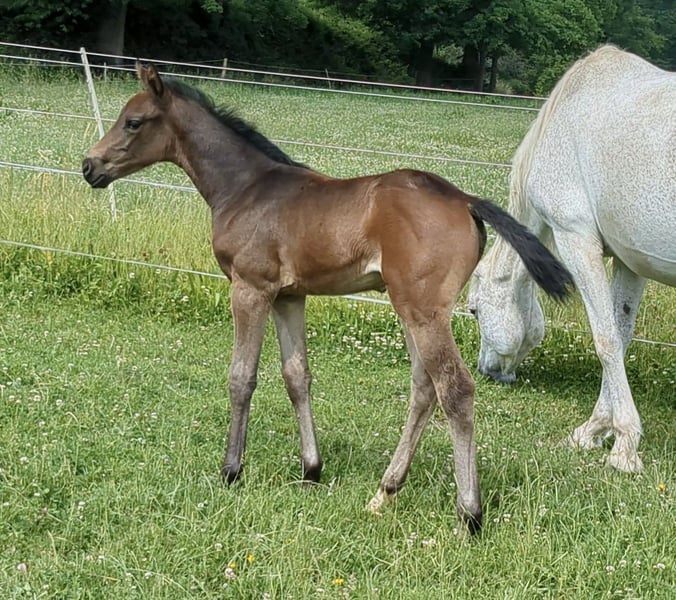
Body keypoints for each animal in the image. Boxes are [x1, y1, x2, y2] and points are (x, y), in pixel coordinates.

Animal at [83, 63, 572, 533]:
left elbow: (242, 377)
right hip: (411, 308)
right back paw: (384, 492)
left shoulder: (250, 288)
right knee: (424, 388)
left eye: (133, 122)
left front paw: (231, 470)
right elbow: (297, 376)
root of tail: (465, 199)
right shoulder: (288, 297)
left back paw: (469, 514)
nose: (90, 166)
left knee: (455, 388)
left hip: (423, 310)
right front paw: (311, 470)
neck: (245, 188)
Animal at [468, 45, 675, 473]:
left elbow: (605, 339)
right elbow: (621, 335)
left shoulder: (575, 238)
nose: (486, 370)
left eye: (474, 310)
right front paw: (593, 430)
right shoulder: (630, 262)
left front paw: (624, 445)